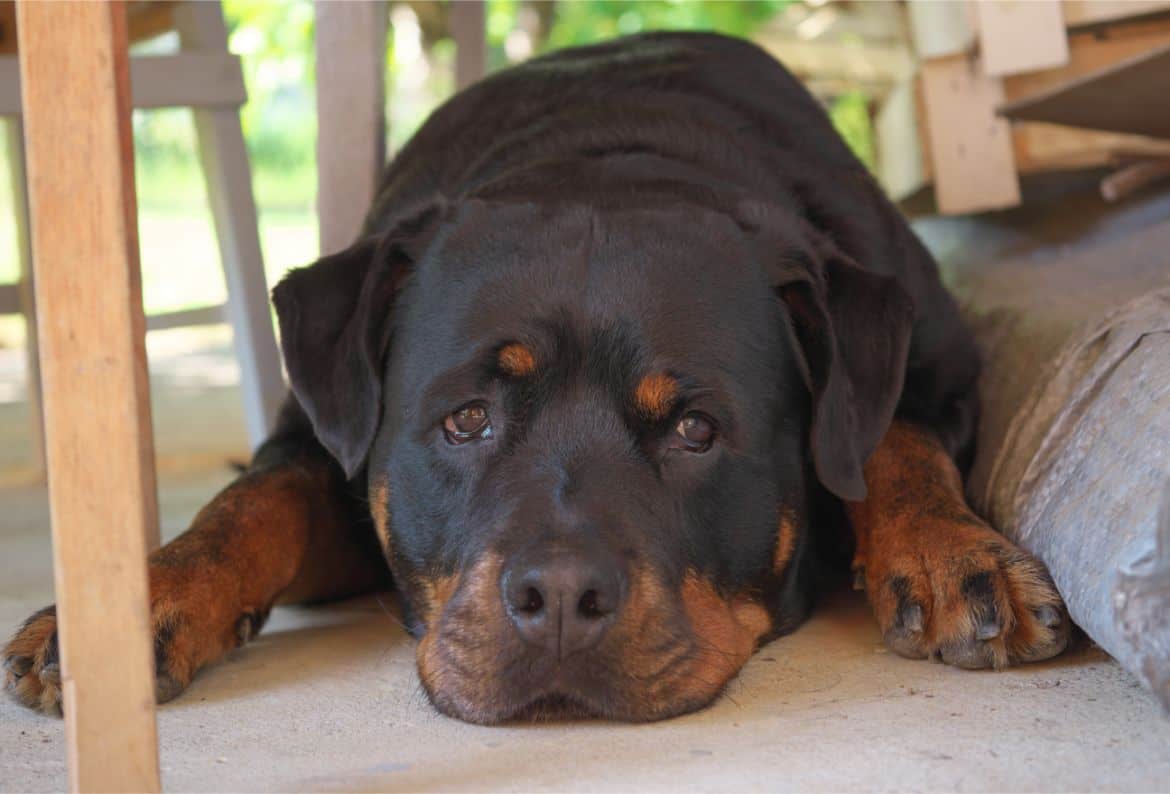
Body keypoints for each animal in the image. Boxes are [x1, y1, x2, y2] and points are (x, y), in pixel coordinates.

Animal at [4, 32, 1067, 725]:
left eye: (695, 431)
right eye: (466, 419)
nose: (558, 597)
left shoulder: (929, 357)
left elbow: (896, 435)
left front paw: (949, 550)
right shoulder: (322, 441)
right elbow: (252, 502)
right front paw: (136, 597)